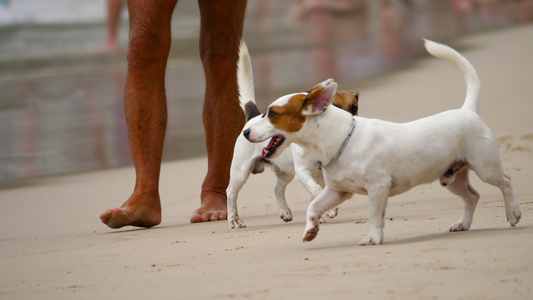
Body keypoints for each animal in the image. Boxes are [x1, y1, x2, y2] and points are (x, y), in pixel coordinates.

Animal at [227, 42, 360, 229]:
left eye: (354, 108)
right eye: (334, 106)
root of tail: (255, 116)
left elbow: (315, 195)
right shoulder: (303, 172)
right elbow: (317, 191)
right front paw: (328, 211)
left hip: (285, 172)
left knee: (278, 188)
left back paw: (284, 211)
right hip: (241, 171)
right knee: (231, 192)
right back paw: (234, 220)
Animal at [243, 39, 520, 245]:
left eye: (272, 113)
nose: (245, 132)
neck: (340, 140)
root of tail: (467, 110)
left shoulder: (377, 188)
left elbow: (374, 216)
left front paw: (373, 237)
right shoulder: (337, 191)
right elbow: (314, 205)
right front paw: (311, 229)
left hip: (485, 167)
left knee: (505, 181)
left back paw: (513, 212)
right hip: (451, 177)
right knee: (472, 196)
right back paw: (463, 223)